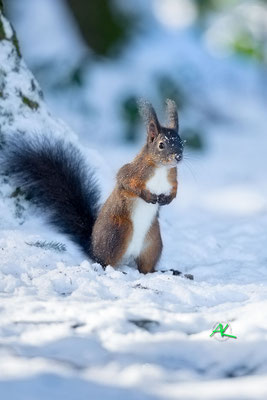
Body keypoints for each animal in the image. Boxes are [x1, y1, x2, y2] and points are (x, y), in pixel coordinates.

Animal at [2, 101, 185, 276]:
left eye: (181, 142)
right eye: (161, 145)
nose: (178, 157)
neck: (161, 168)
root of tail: (93, 247)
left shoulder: (173, 179)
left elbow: (175, 192)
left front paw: (167, 200)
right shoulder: (132, 171)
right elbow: (126, 183)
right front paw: (148, 196)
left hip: (153, 243)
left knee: (146, 269)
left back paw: (167, 272)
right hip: (118, 233)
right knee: (105, 261)